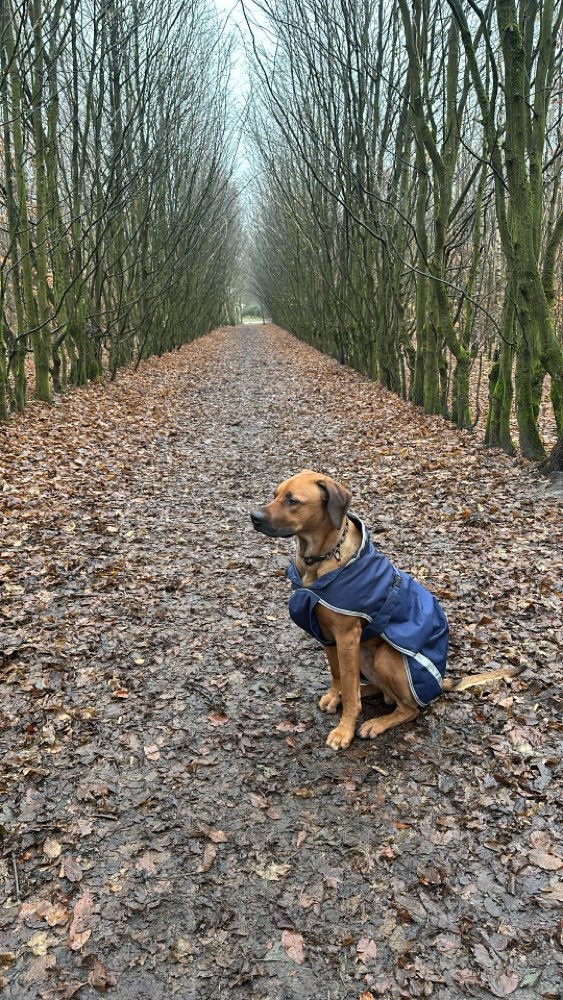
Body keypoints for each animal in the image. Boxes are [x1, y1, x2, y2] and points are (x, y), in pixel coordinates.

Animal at [251, 472, 524, 748]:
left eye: (292, 500)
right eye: (275, 494)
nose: (254, 516)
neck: (321, 561)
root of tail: (439, 684)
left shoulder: (347, 638)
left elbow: (348, 688)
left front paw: (344, 730)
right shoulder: (326, 635)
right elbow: (339, 675)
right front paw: (335, 696)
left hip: (386, 657)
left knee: (409, 708)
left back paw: (376, 722)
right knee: (373, 689)